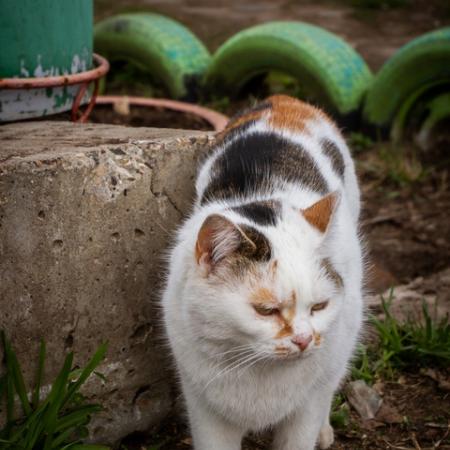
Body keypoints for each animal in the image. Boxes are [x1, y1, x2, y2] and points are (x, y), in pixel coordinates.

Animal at [163, 95, 364, 450]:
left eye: (319, 307)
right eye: (266, 310)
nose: (303, 340)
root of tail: (284, 100)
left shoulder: (307, 405)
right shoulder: (204, 405)